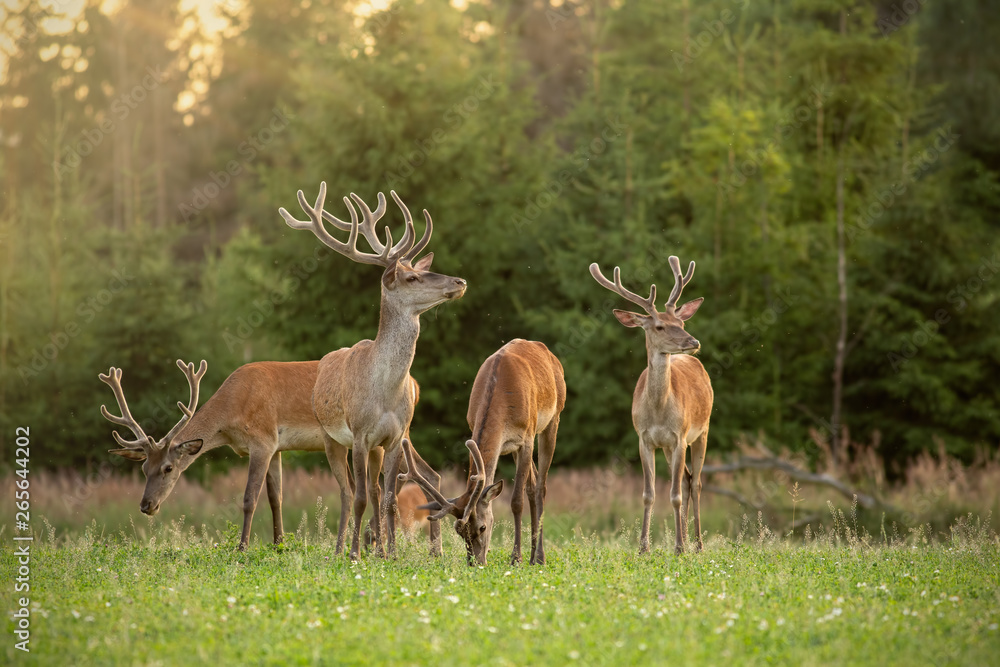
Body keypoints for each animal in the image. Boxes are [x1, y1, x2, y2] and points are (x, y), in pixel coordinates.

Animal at [99, 358, 444, 554]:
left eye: (169, 468)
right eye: (144, 468)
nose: (146, 505)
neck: (231, 415)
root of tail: (414, 383)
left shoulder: (262, 441)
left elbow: (250, 497)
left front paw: (242, 548)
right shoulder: (276, 448)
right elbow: (276, 496)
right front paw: (279, 544)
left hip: (389, 435)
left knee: (403, 480)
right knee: (428, 474)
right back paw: (430, 549)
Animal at [279, 182, 466, 560]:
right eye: (412, 277)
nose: (459, 281)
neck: (384, 392)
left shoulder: (393, 437)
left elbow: (391, 497)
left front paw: (391, 551)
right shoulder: (361, 435)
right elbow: (361, 496)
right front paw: (354, 552)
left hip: (382, 445)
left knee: (383, 489)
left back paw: (380, 547)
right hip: (330, 438)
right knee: (348, 492)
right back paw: (340, 548)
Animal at [399, 339, 566, 566]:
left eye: (482, 527)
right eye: (460, 532)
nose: (475, 562)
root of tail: (546, 351)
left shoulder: (527, 437)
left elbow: (516, 501)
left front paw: (516, 558)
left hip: (553, 418)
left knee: (541, 486)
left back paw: (539, 557)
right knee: (532, 485)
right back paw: (533, 556)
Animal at [589, 257, 713, 554]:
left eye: (680, 322)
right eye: (659, 326)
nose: (693, 341)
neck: (657, 411)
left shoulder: (680, 436)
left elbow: (675, 495)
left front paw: (678, 547)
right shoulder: (644, 439)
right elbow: (649, 494)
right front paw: (643, 546)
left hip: (702, 430)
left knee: (696, 482)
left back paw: (697, 544)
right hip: (669, 446)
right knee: (688, 479)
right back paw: (688, 540)